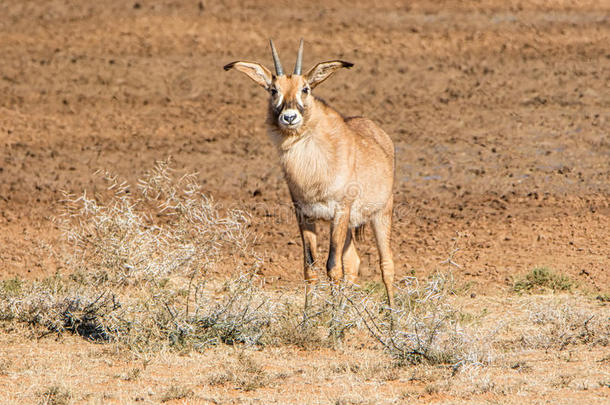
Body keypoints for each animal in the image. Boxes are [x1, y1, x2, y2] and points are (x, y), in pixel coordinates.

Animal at [223, 40, 394, 306]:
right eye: (273, 90)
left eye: (305, 88)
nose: (289, 117)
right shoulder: (305, 215)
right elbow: (310, 266)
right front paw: (310, 315)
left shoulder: (339, 212)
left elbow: (332, 266)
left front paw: (334, 318)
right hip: (350, 226)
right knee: (353, 262)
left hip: (381, 215)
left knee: (386, 265)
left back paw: (393, 315)